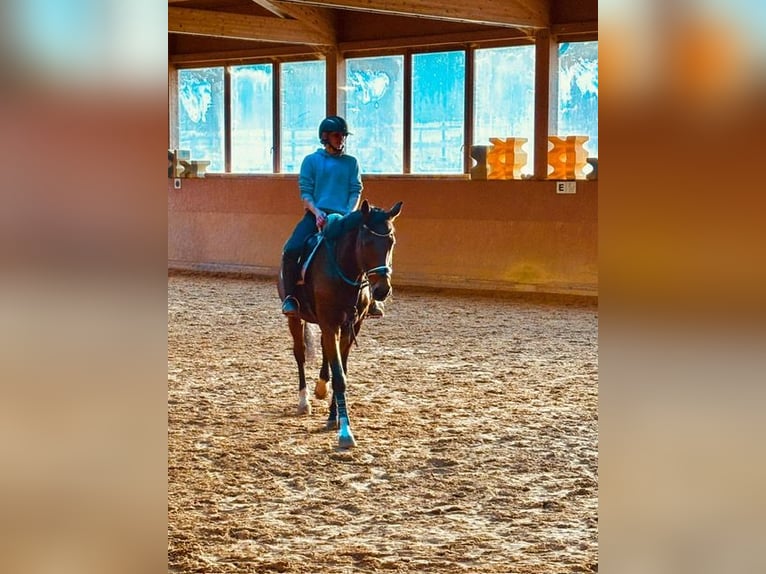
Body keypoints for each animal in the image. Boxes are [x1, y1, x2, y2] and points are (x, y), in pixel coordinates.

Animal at [278, 199, 403, 448]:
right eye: (366, 242)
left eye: (391, 241)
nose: (382, 290)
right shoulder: (330, 324)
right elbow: (340, 377)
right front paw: (345, 431)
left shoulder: (350, 326)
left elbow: (340, 371)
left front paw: (334, 416)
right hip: (295, 318)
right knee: (300, 354)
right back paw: (304, 401)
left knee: (325, 351)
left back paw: (320, 387)